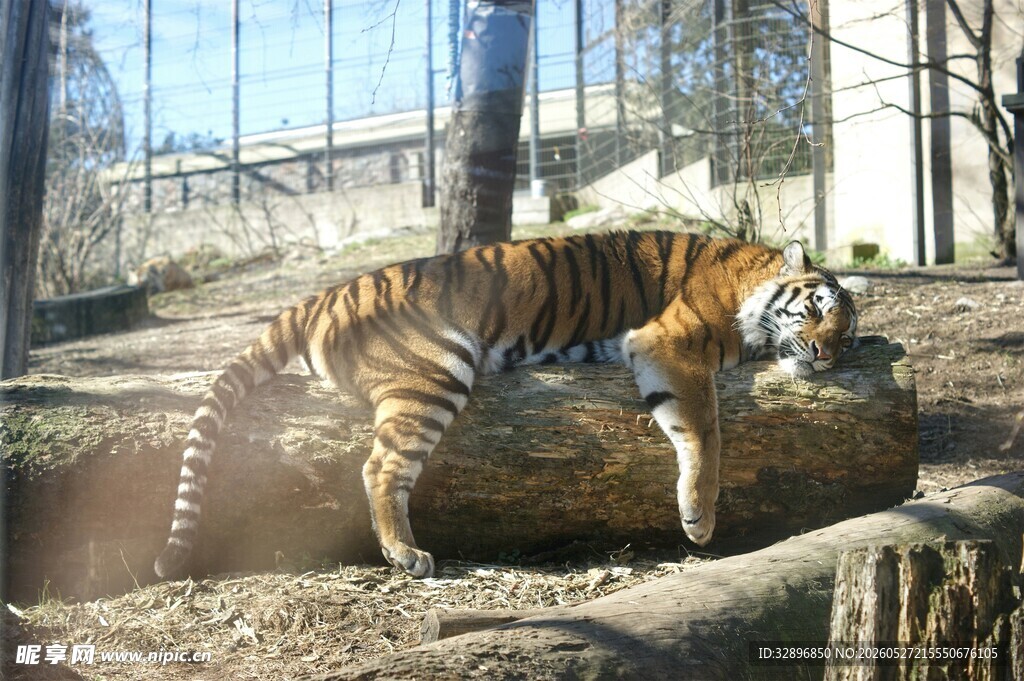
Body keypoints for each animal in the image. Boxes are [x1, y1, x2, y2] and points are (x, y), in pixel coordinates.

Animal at [154, 230, 858, 580]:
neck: (751, 279)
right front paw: (699, 518)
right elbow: (705, 432)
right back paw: (406, 556)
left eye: (847, 332)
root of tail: (323, 295)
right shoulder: (670, 345)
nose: (827, 356)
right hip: (437, 369)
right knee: (380, 468)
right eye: (817, 310)